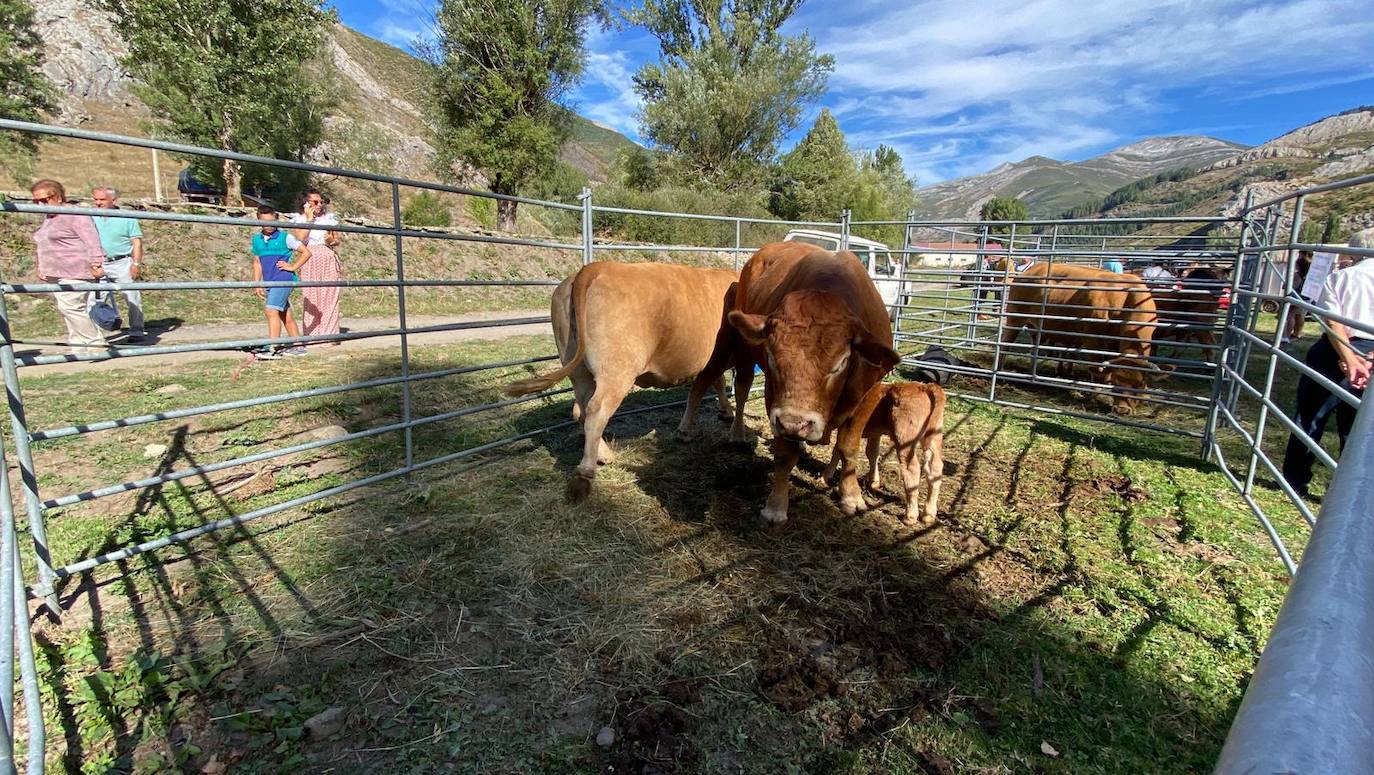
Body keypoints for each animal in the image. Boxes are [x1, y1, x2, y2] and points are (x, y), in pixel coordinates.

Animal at [505, 259, 741, 502]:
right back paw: (585, 475)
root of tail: (599, 266)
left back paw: (604, 454)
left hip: (577, 366)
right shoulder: (717, 359)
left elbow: (715, 385)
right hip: (617, 370)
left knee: (581, 409)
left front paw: (724, 411)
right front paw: (688, 430)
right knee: (597, 411)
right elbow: (699, 392)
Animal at [678, 239, 901, 524]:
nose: (795, 424)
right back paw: (704, 430)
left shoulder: (868, 393)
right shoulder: (774, 394)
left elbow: (849, 449)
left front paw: (852, 498)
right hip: (734, 346)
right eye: (773, 356)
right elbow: (785, 456)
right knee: (725, 385)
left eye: (841, 363)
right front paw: (775, 507)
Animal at [818, 382, 939, 527]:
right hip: (934, 437)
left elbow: (839, 449)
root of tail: (925, 386)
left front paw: (825, 477)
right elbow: (872, 453)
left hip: (905, 439)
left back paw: (910, 516)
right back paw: (928, 514)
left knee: (912, 468)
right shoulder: (875, 434)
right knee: (934, 469)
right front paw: (874, 482)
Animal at [1000, 263, 1170, 414]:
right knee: (1005, 345)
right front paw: (1095, 393)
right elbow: (1096, 365)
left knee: (1034, 350)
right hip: (1014, 319)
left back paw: (1033, 376)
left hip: (1036, 328)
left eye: (1139, 386)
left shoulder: (1113, 343)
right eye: (1116, 384)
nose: (1122, 410)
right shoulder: (1092, 338)